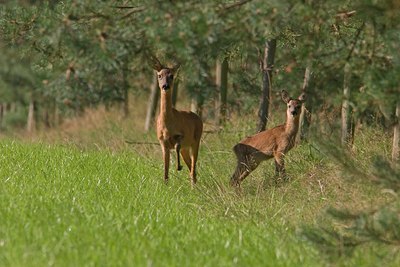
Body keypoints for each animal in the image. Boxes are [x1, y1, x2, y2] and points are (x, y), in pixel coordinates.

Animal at [151, 56, 205, 186]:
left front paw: (178, 166)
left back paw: (193, 185)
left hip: (196, 140)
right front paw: (166, 184)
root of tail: (198, 118)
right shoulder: (162, 142)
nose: (165, 86)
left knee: (193, 167)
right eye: (159, 75)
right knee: (191, 167)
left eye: (171, 76)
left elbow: (177, 144)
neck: (167, 125)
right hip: (186, 148)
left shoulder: (182, 135)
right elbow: (165, 170)